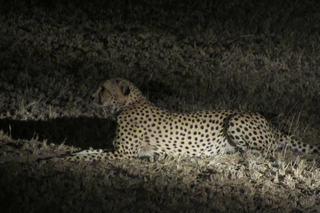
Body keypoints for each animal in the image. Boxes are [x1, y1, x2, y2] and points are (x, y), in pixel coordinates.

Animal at [66, 78, 318, 161]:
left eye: (103, 88)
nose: (90, 96)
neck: (128, 104)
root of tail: (271, 124)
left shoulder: (123, 153)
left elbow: (94, 154)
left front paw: (73, 157)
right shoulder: (119, 150)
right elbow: (93, 149)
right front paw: (74, 153)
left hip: (235, 120)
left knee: (270, 150)